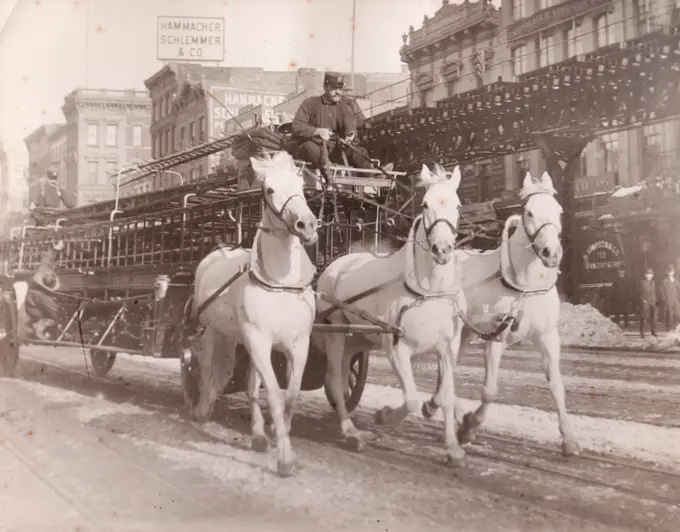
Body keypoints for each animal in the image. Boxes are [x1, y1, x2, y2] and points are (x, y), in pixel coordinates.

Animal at [191, 151, 318, 478]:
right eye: (270, 189)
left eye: (302, 185)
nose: (307, 225)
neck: (281, 284)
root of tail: (218, 251)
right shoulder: (258, 339)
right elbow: (272, 392)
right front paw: (285, 459)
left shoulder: (298, 344)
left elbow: (290, 395)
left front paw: (273, 433)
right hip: (215, 332)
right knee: (207, 368)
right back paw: (201, 410)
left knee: (248, 383)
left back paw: (259, 435)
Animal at [314, 162, 468, 466]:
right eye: (425, 203)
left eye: (457, 205)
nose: (442, 250)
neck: (427, 291)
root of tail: (335, 263)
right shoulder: (396, 346)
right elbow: (411, 399)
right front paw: (384, 416)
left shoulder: (448, 349)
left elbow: (446, 396)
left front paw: (453, 448)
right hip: (335, 332)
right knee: (334, 381)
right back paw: (351, 432)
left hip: (358, 338)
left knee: (342, 377)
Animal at [424, 170, 580, 458]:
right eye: (529, 212)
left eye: (559, 211)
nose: (552, 253)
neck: (525, 285)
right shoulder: (496, 338)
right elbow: (490, 391)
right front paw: (471, 425)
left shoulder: (548, 336)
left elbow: (557, 386)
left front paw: (569, 439)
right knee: (446, 369)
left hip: (464, 333)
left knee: (448, 369)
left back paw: (436, 404)